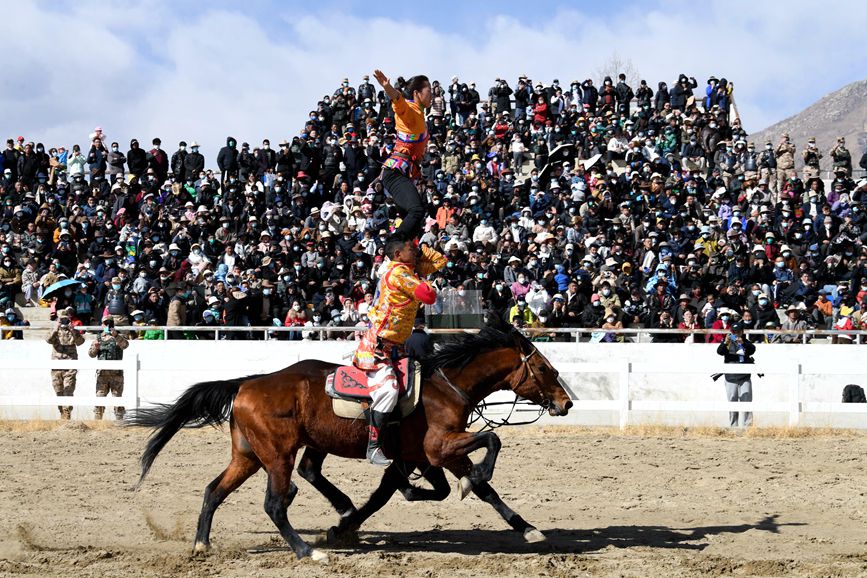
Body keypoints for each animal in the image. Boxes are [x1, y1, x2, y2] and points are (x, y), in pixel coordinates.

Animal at [129, 318, 572, 560]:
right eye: (545, 368)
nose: (565, 403)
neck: (445, 388)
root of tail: (246, 384)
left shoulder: (429, 454)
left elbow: (465, 489)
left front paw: (526, 528)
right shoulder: (440, 446)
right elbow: (491, 446)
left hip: (250, 455)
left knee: (215, 490)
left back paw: (202, 545)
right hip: (277, 454)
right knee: (276, 502)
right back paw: (308, 551)